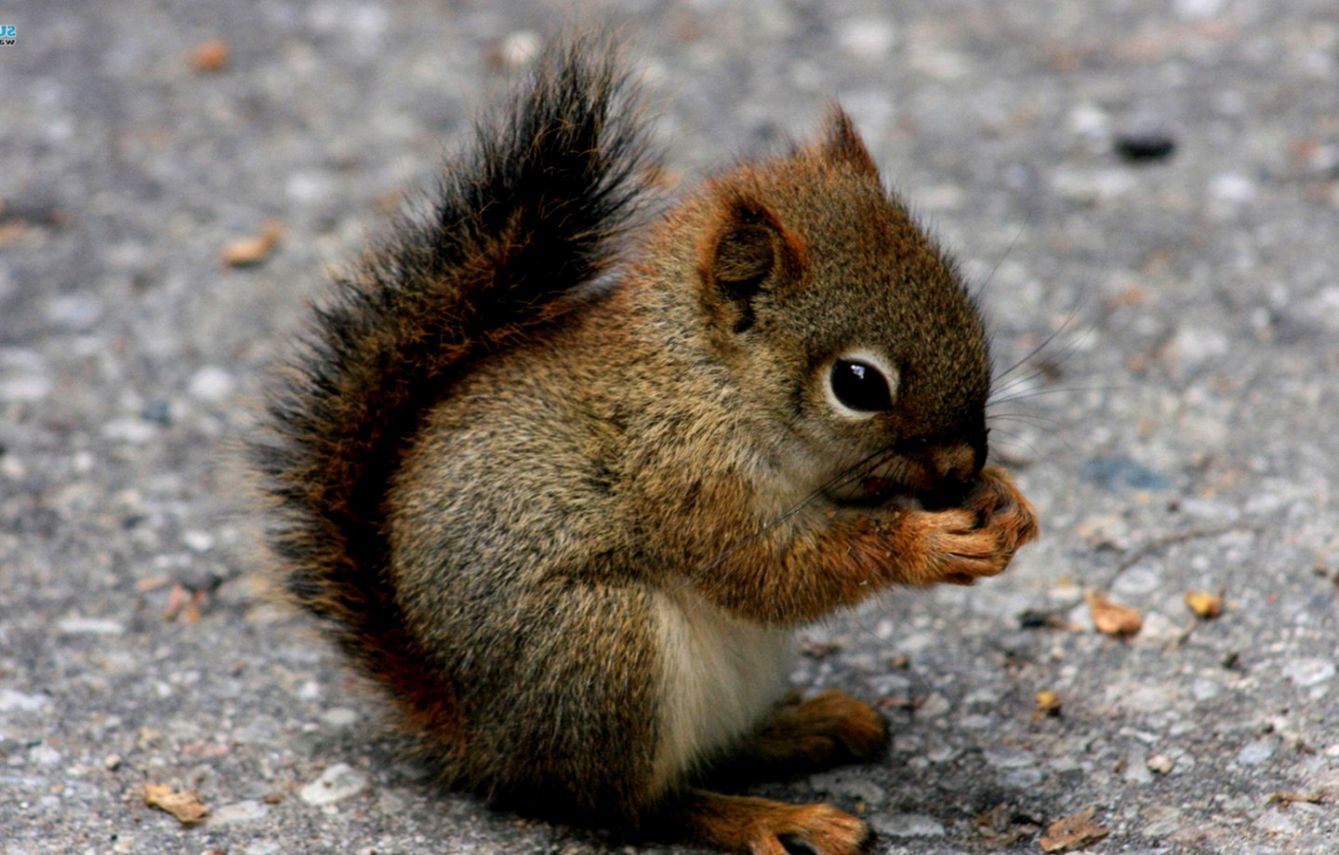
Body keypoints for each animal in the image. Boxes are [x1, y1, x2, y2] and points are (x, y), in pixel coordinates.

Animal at [255, 37, 1038, 855]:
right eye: (857, 383)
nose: (963, 464)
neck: (709, 379)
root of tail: (483, 739)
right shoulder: (684, 476)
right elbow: (769, 574)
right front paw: (927, 543)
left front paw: (1004, 502)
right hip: (603, 649)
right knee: (631, 804)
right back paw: (764, 816)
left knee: (712, 752)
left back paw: (807, 726)